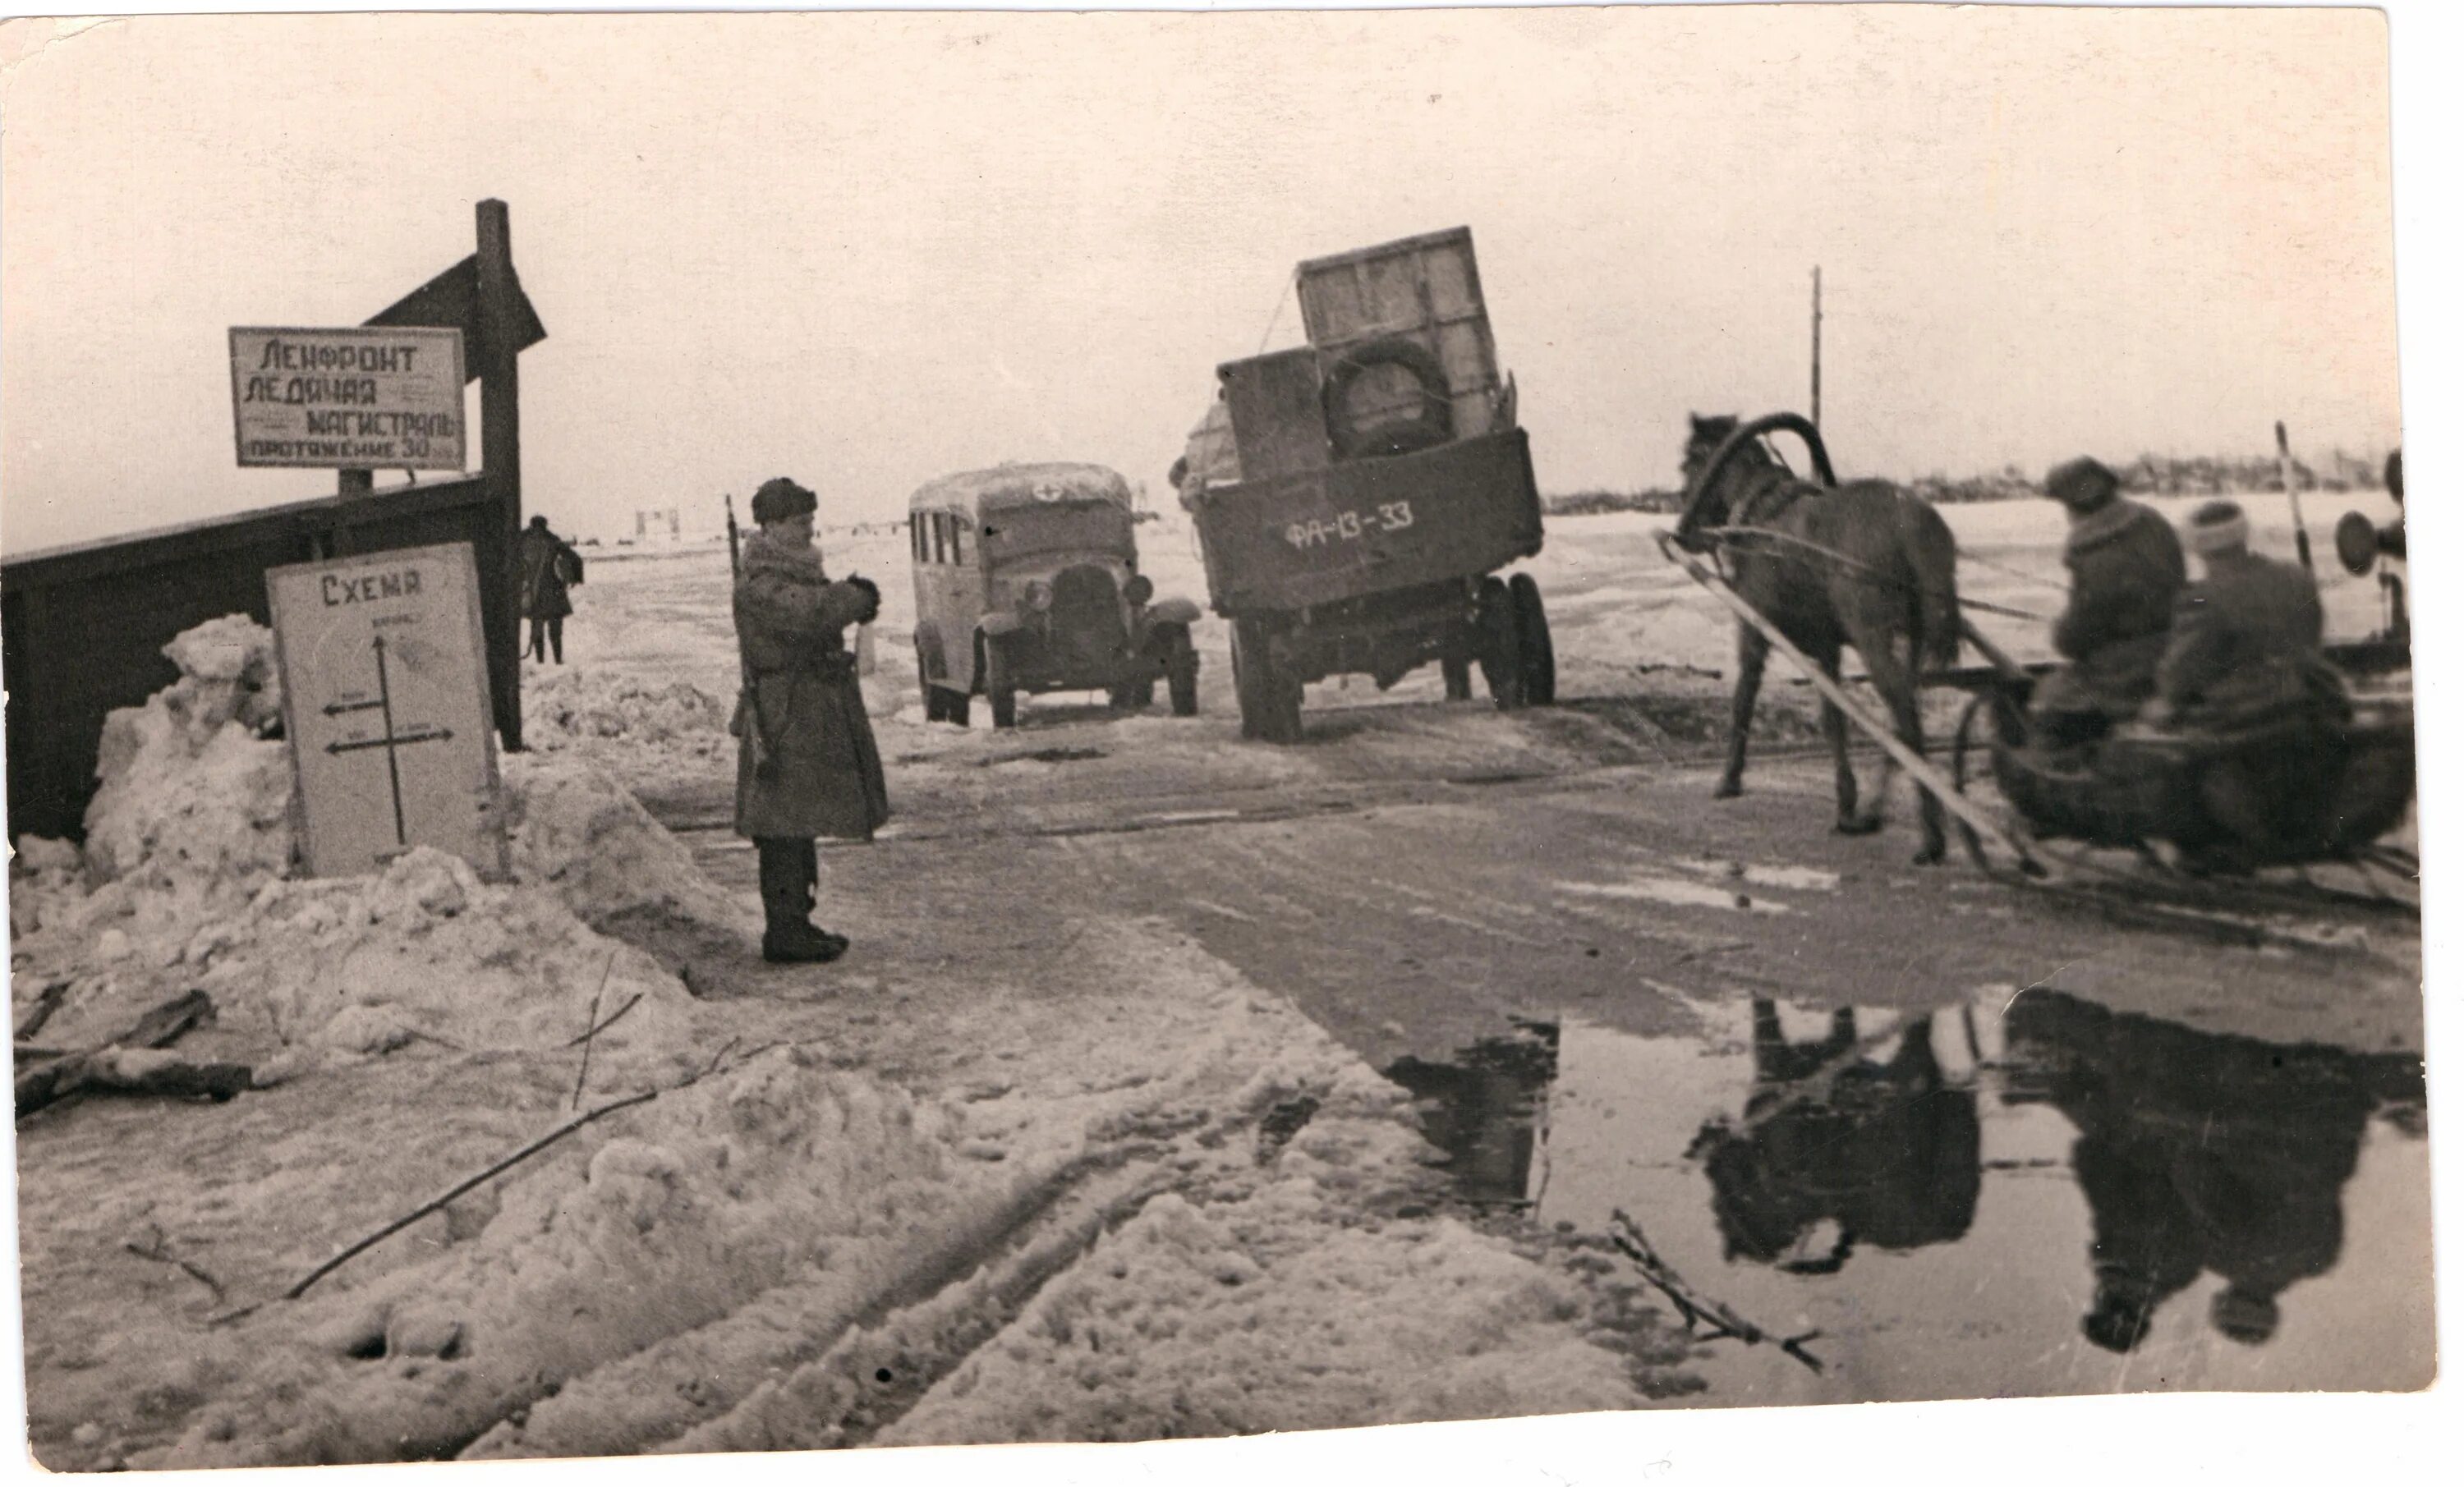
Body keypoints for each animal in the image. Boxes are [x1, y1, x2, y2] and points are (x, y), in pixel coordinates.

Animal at [1676, 413, 1961, 866]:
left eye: (1689, 463)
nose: (1684, 532)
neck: (1759, 516)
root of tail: (1918, 525)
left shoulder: (1754, 629)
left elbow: (1743, 699)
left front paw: (1728, 780)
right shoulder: (1827, 646)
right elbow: (1834, 719)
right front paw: (1846, 803)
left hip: (1873, 635)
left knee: (1905, 716)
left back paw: (1930, 838)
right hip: (1911, 639)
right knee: (1904, 713)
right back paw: (1875, 813)